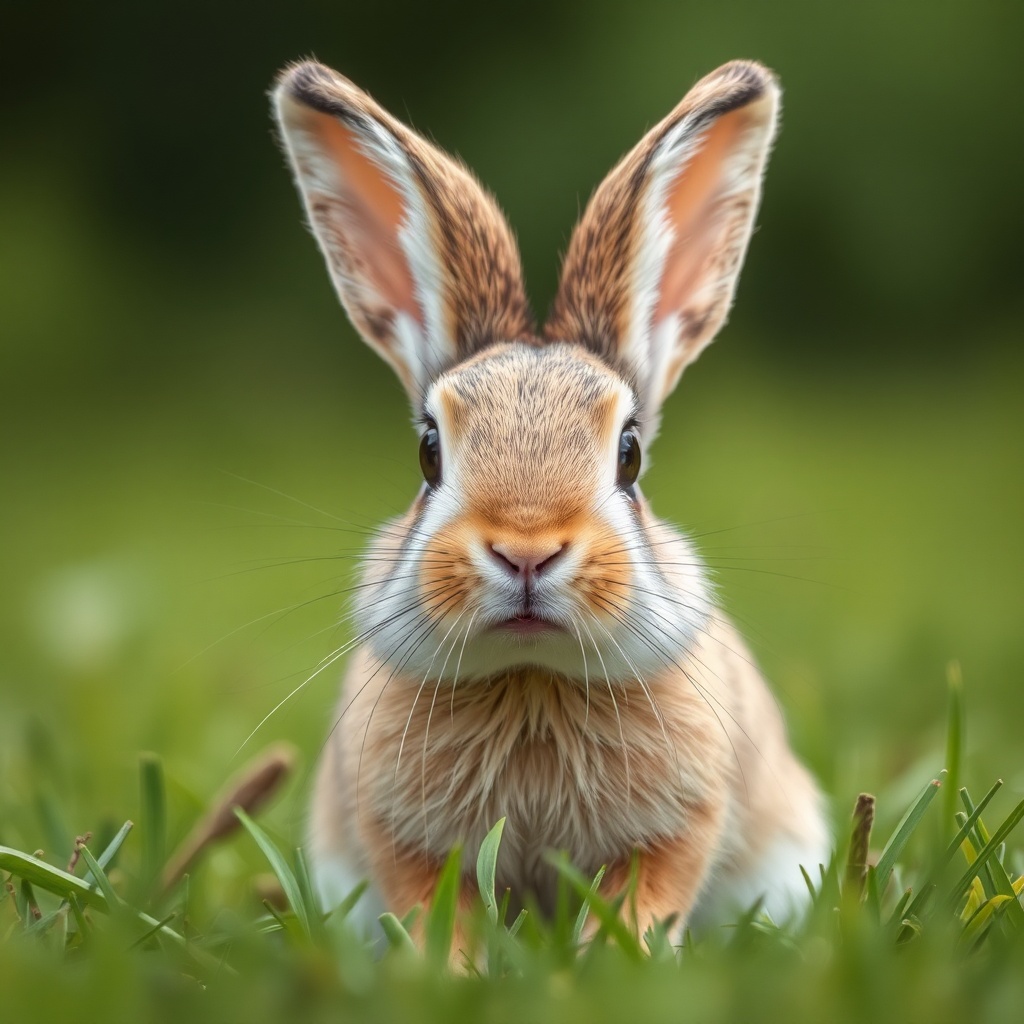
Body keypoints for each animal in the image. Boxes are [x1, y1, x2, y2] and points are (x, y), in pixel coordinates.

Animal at [273, 57, 830, 951]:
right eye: (428, 452)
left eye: (629, 454)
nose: (526, 549)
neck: (532, 679)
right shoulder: (402, 841)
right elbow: (435, 909)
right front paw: (449, 968)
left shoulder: (680, 826)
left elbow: (649, 892)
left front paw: (616, 956)